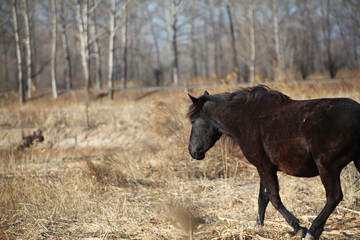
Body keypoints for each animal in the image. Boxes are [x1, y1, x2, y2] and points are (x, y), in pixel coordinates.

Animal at [187, 85, 358, 239]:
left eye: (193, 120)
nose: (192, 151)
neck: (245, 119)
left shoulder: (265, 167)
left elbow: (273, 197)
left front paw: (298, 228)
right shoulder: (264, 167)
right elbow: (262, 198)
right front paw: (258, 226)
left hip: (327, 167)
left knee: (334, 197)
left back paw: (313, 230)